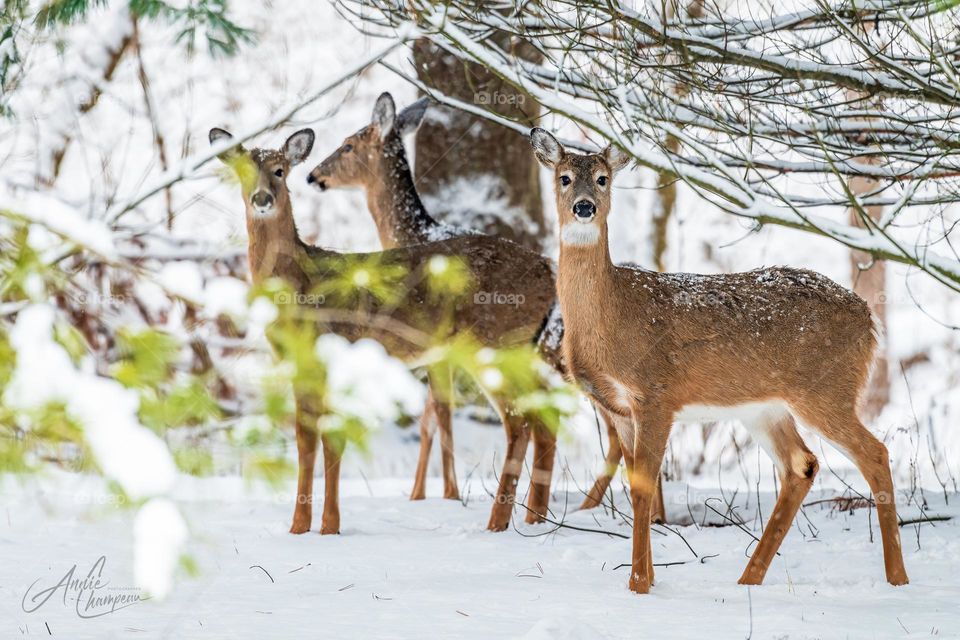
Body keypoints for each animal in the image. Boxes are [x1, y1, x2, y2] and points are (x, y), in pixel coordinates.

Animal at [209, 126, 563, 534]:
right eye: (243, 172)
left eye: (280, 170)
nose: (262, 198)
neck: (300, 281)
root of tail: (548, 268)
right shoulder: (302, 363)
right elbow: (305, 440)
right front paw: (299, 527)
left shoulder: (329, 348)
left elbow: (328, 439)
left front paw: (328, 526)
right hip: (517, 347)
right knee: (544, 414)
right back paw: (532, 517)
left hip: (493, 341)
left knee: (519, 419)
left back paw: (497, 522)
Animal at [308, 92, 663, 519]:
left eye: (347, 145)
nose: (313, 176)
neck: (414, 232)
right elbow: (431, 419)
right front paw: (423, 495)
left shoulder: (439, 349)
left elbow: (439, 417)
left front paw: (441, 495)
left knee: (597, 429)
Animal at [529, 127, 909, 594]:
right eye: (564, 177)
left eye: (602, 178)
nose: (584, 206)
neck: (612, 318)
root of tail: (870, 319)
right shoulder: (617, 408)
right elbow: (636, 486)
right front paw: (647, 579)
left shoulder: (656, 393)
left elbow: (643, 489)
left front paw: (638, 585)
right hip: (765, 408)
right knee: (802, 465)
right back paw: (748, 579)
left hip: (826, 390)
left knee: (875, 453)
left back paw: (897, 579)